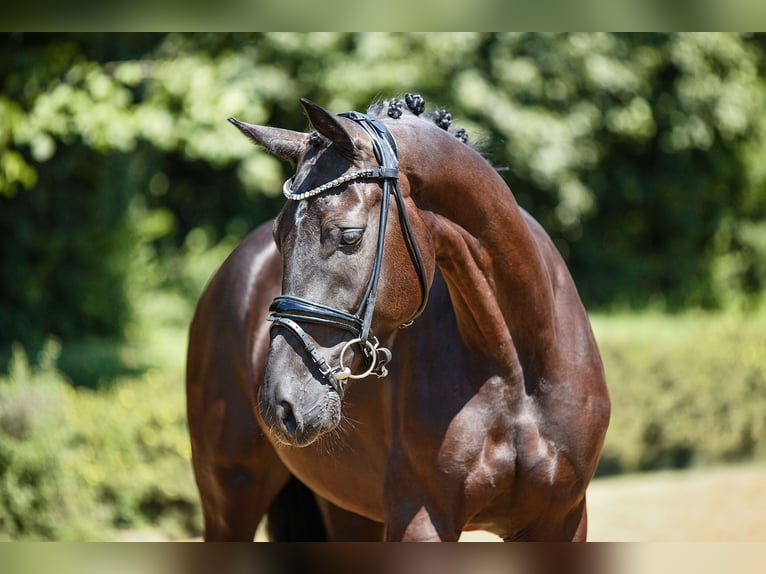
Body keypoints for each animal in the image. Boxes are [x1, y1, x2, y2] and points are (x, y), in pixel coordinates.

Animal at [186, 94, 610, 541]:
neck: (515, 369)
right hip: (231, 496)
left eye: (349, 236)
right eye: (278, 237)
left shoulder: (562, 519)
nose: (278, 405)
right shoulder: (421, 519)